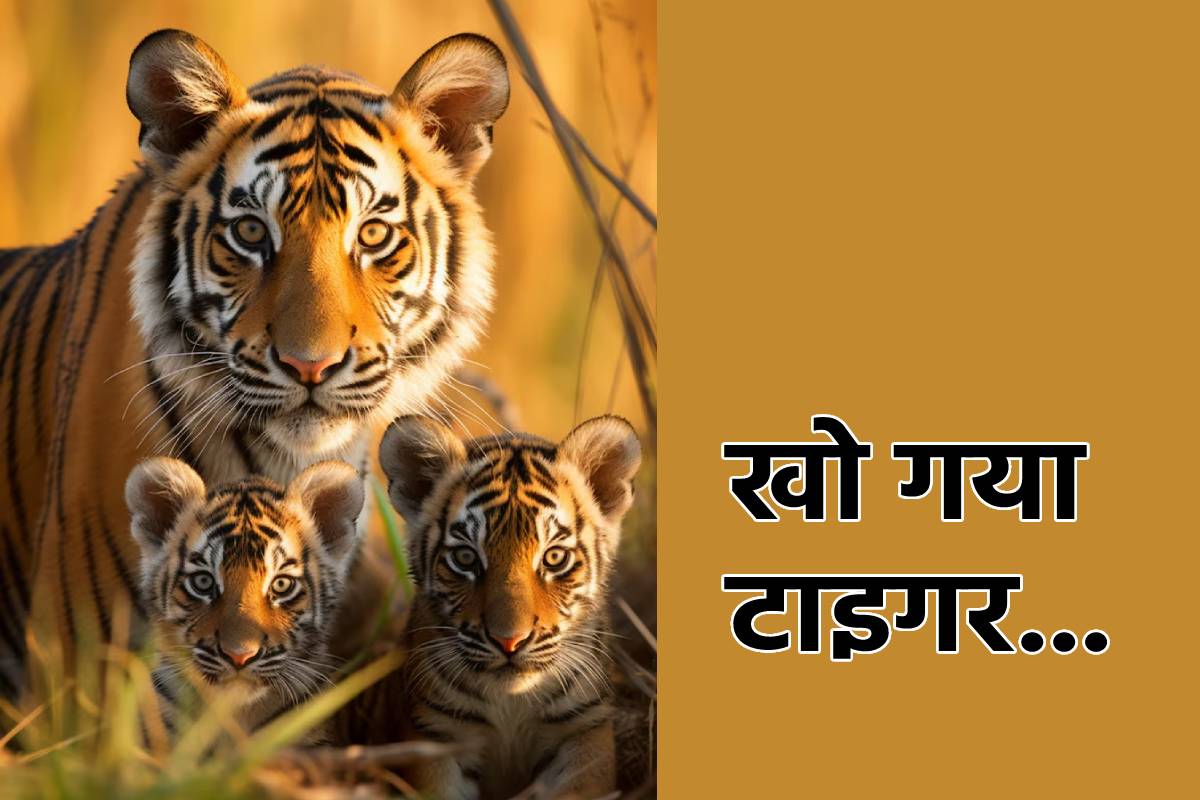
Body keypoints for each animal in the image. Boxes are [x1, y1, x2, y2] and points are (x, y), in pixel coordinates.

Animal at [350, 414, 642, 799]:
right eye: (465, 558)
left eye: (554, 558)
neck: (511, 705)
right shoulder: (434, 738)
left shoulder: (584, 732)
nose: (509, 642)